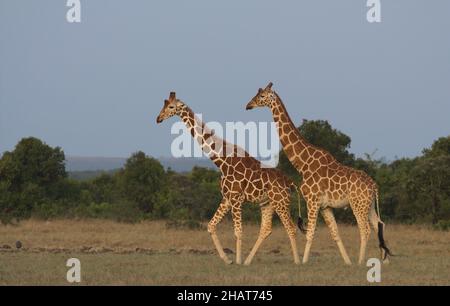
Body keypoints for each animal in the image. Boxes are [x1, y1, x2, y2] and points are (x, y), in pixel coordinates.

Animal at [155, 91, 306, 266]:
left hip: (281, 202)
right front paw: (227, 260)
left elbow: (238, 231)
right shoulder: (227, 198)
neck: (222, 161)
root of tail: (290, 183)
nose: (158, 118)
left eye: (171, 107)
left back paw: (296, 261)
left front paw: (237, 261)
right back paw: (248, 261)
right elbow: (211, 226)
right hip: (267, 203)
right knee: (266, 229)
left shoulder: (235, 199)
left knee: (290, 228)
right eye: (164, 104)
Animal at [244, 82, 392, 264]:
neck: (303, 163)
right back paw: (384, 261)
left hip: (358, 204)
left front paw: (304, 262)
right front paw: (347, 262)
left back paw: (360, 262)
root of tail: (374, 186)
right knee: (379, 224)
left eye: (262, 96)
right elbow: (335, 233)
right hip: (368, 204)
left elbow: (310, 233)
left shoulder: (312, 201)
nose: (248, 105)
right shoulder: (325, 207)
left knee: (365, 229)